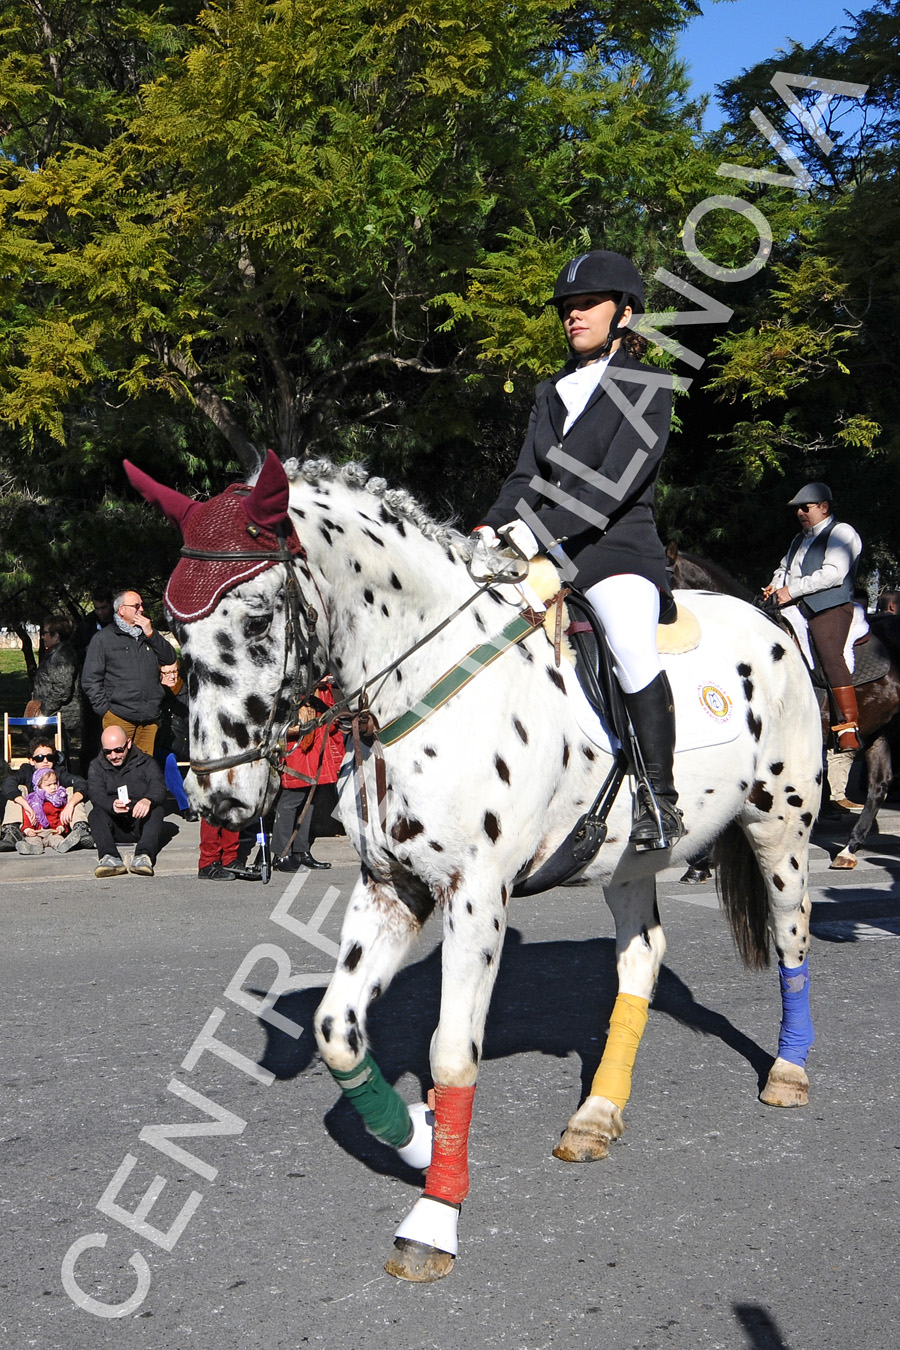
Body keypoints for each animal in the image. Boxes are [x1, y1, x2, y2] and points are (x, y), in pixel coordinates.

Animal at [124, 453, 825, 1285]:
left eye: (259, 618)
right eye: (175, 631)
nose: (217, 796)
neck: (424, 676)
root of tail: (767, 616)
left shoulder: (476, 895)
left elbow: (453, 1055)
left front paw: (434, 1217)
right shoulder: (391, 886)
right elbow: (337, 1030)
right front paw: (420, 1140)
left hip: (780, 823)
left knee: (791, 936)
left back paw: (787, 1073)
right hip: (632, 858)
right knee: (641, 956)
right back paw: (595, 1115)